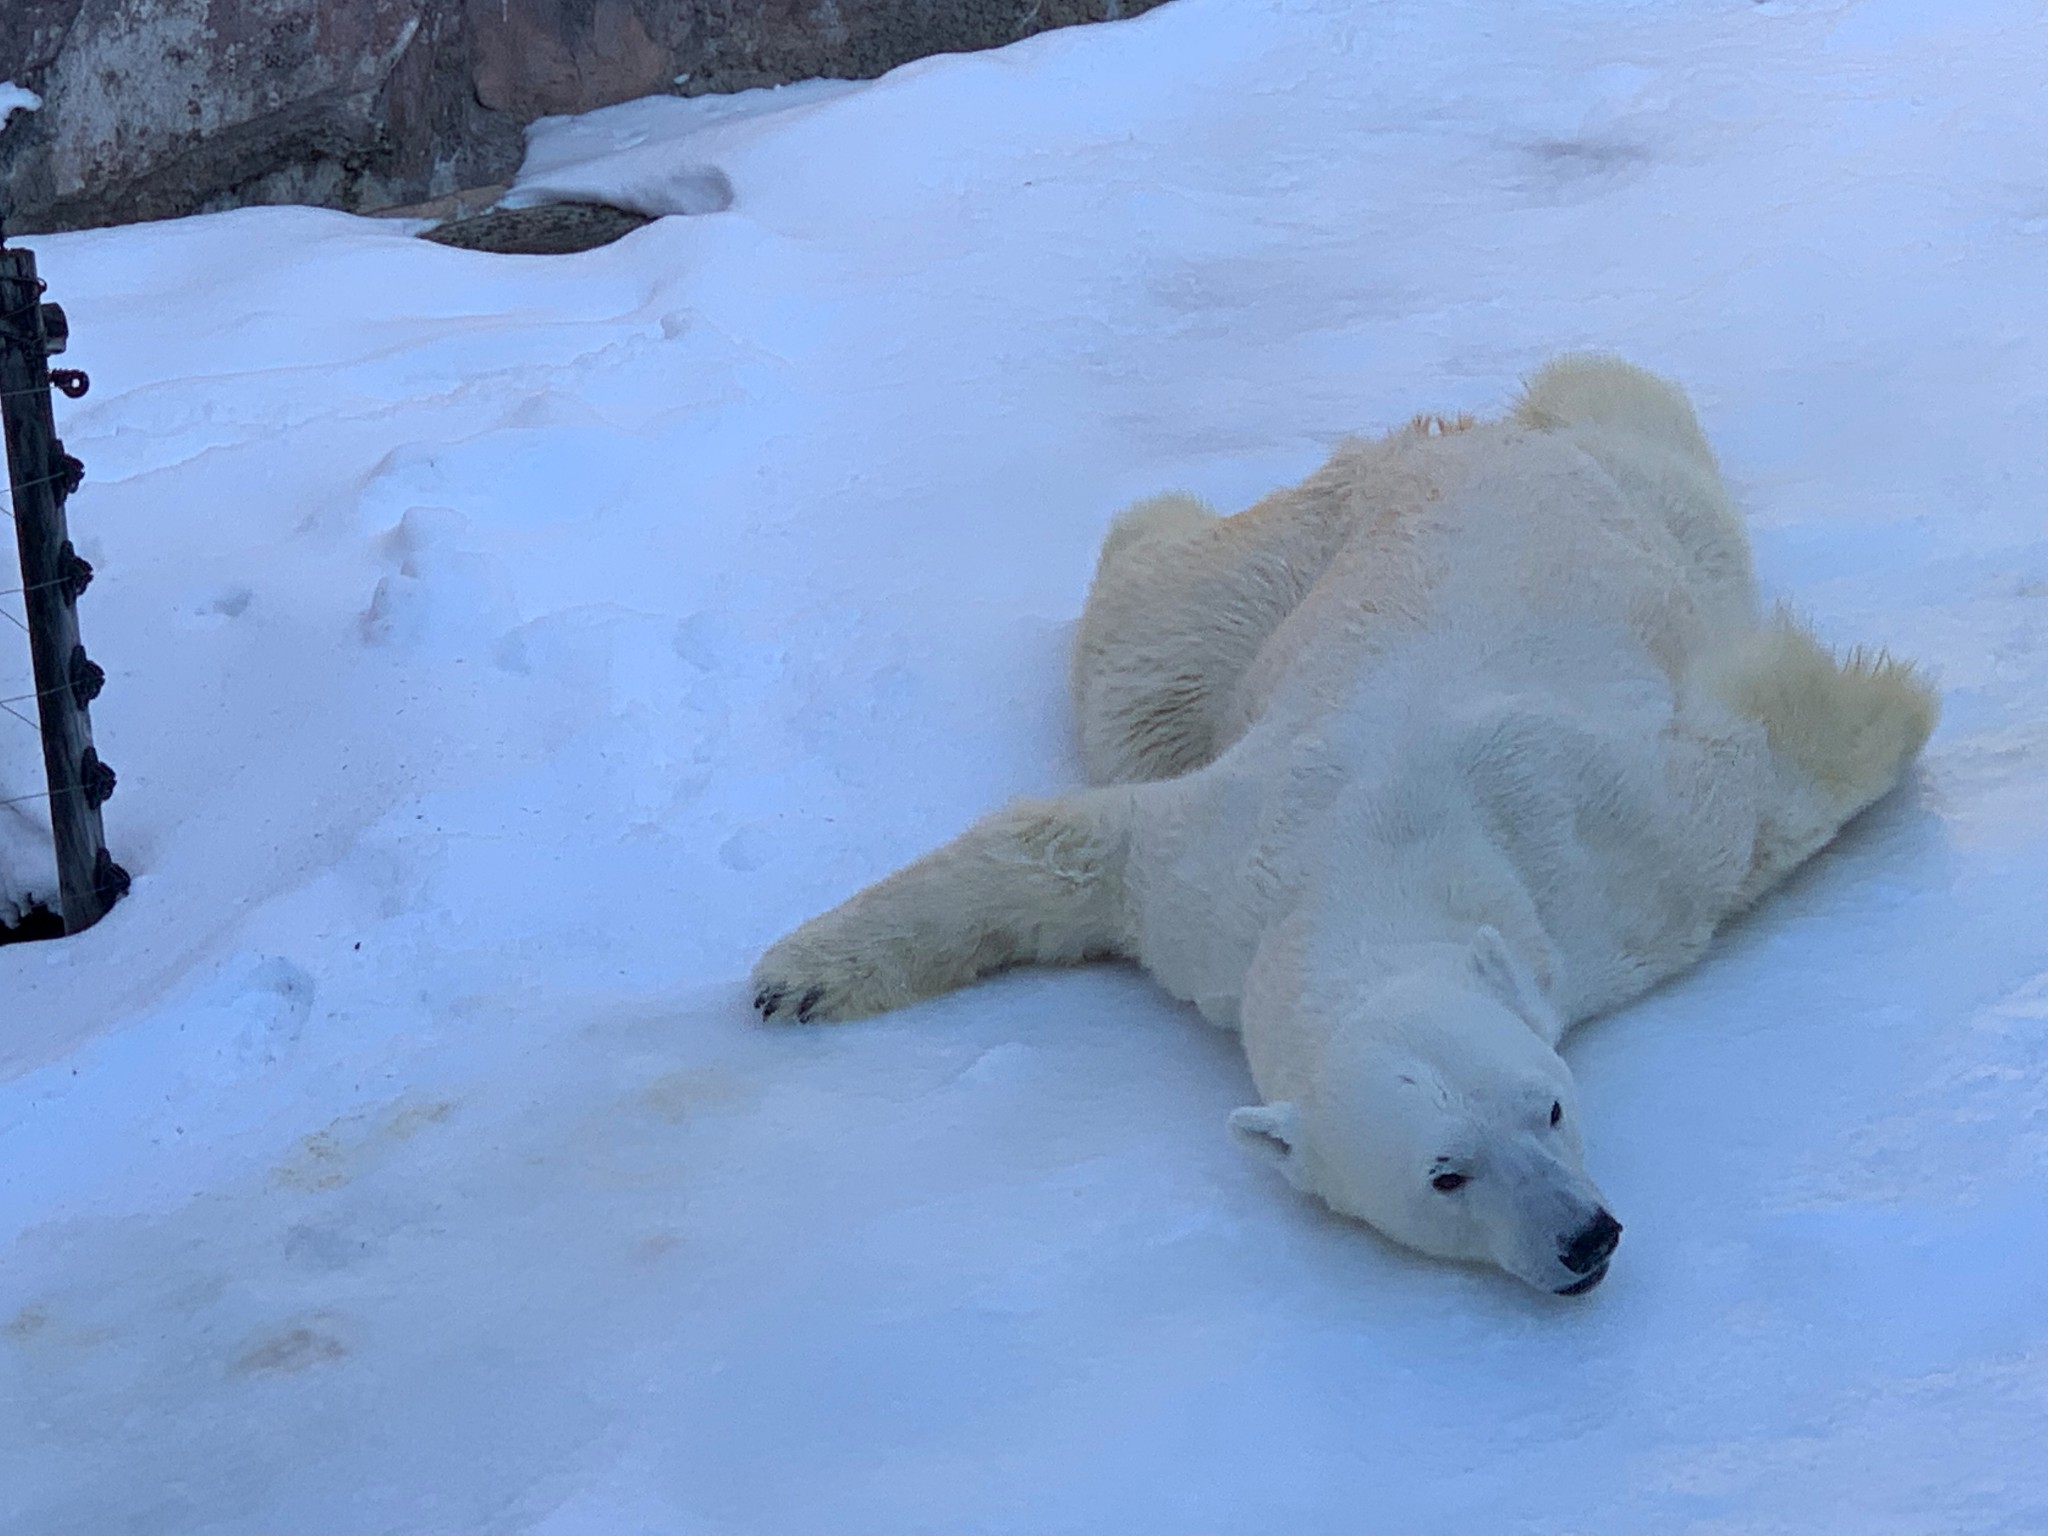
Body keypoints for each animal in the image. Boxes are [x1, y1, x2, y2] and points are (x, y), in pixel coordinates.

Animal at [753, 360, 1933, 1302]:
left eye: (1549, 1105)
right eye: (1444, 1173)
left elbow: (1758, 775)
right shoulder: (1207, 886)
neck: (1375, 857)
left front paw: (1874, 697)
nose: (1583, 1239)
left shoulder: (1617, 854)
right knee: (1143, 669)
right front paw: (794, 980)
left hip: (1622, 514)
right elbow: (1064, 849)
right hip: (1293, 575)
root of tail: (1442, 436)